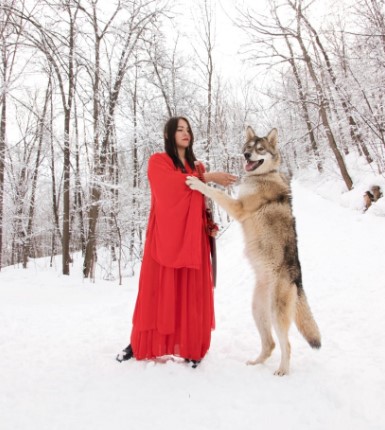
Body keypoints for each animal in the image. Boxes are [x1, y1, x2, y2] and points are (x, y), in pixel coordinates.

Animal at [186, 126, 320, 374]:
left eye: (260, 149)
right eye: (248, 148)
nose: (246, 155)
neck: (261, 176)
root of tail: (298, 280)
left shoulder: (237, 207)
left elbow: (216, 193)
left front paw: (196, 182)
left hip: (276, 314)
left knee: (286, 344)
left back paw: (282, 370)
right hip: (257, 310)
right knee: (270, 344)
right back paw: (256, 362)